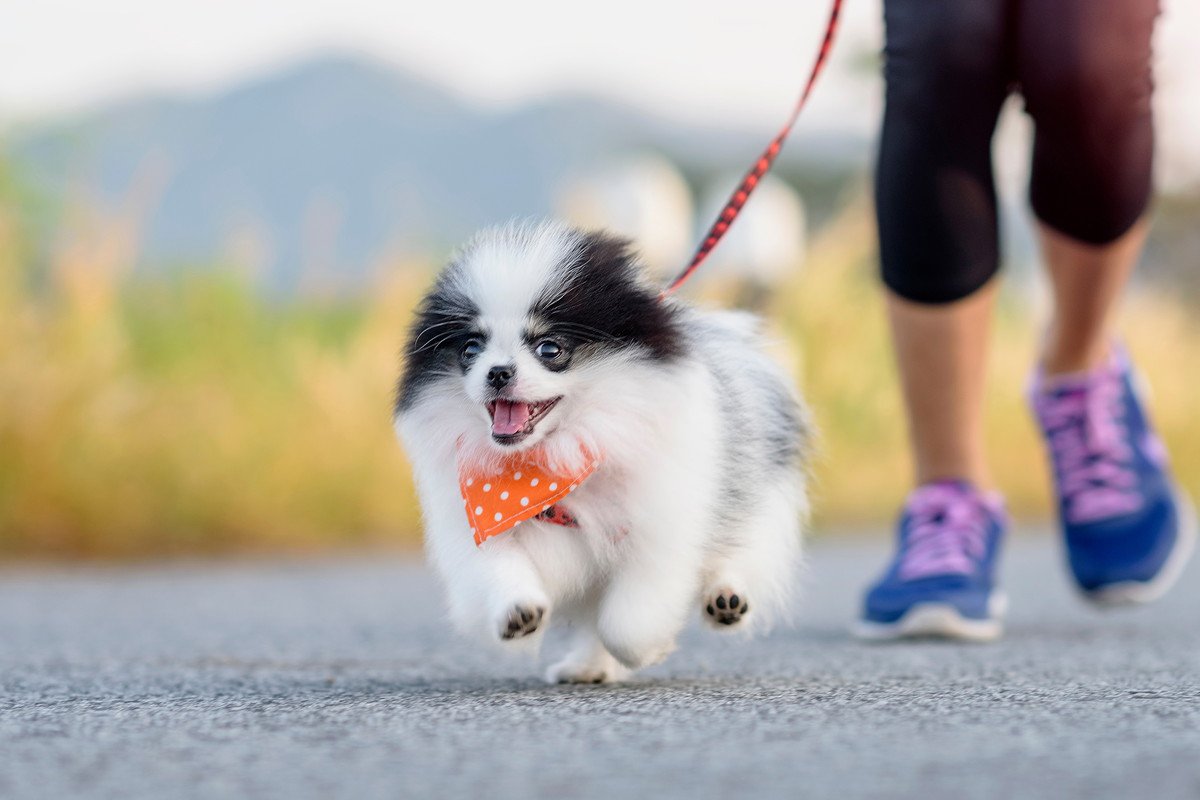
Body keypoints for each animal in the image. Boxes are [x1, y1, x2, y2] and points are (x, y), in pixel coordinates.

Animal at [398, 221, 811, 686]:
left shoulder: (658, 525)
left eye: (550, 348)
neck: (553, 462)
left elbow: (628, 621)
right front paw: (518, 612)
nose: (497, 371)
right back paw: (587, 667)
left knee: (742, 551)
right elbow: (498, 571)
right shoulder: (480, 519)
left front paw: (648, 649)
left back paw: (726, 599)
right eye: (471, 349)